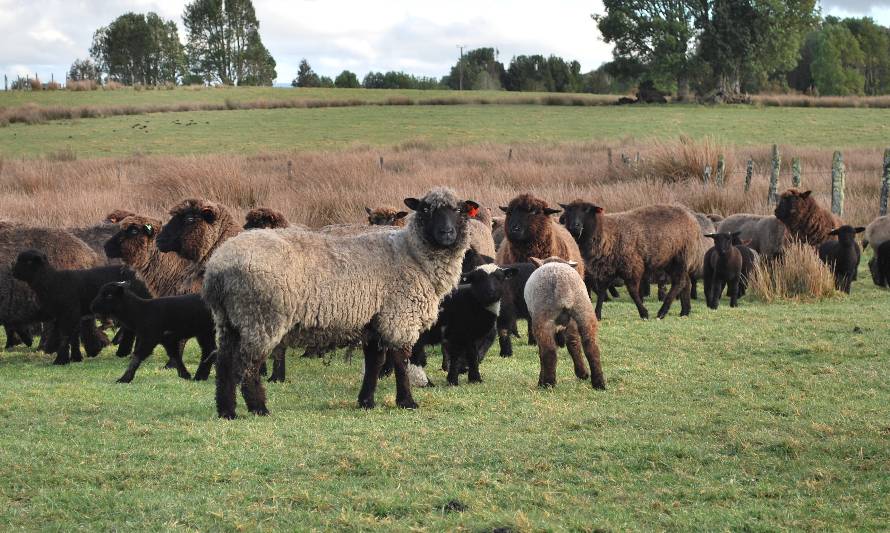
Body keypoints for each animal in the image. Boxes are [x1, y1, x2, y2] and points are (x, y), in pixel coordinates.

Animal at [11, 249, 142, 366]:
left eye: (28, 261)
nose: (13, 271)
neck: (53, 281)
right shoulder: (66, 314)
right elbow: (73, 337)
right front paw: (75, 358)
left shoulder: (69, 312)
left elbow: (65, 336)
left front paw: (60, 360)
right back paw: (124, 352)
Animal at [520, 256, 604, 388]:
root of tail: (563, 285)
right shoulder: (571, 323)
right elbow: (573, 344)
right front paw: (582, 374)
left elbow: (542, 352)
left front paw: (541, 381)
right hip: (584, 311)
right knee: (591, 347)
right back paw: (598, 383)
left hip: (543, 317)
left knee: (548, 351)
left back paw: (548, 383)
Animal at [560, 198, 704, 316]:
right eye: (569, 211)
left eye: (586, 210)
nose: (574, 227)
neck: (605, 232)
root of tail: (692, 218)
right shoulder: (607, 267)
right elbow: (601, 291)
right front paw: (597, 314)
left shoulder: (631, 265)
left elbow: (632, 291)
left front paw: (644, 312)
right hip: (670, 260)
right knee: (686, 282)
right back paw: (684, 311)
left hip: (681, 256)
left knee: (679, 282)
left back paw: (662, 311)